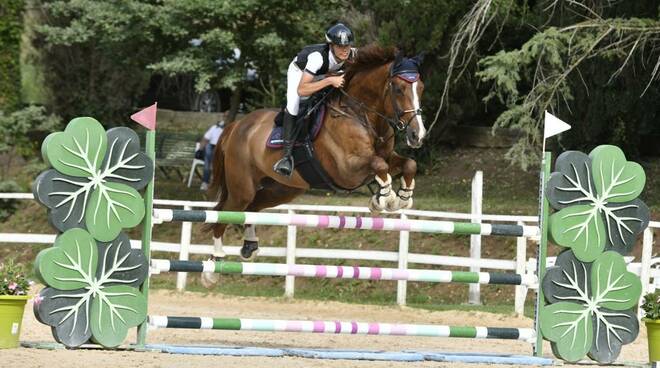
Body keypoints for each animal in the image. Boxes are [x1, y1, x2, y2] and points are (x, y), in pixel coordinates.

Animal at [204, 44, 426, 284]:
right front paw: (385, 198)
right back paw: (213, 266)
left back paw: (249, 247)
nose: (418, 135)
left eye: (421, 88)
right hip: (242, 188)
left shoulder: (387, 156)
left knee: (252, 208)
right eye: (399, 89)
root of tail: (237, 125)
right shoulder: (347, 170)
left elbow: (408, 164)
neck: (360, 113)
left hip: (282, 189)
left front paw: (401, 198)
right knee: (223, 214)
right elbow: (379, 166)